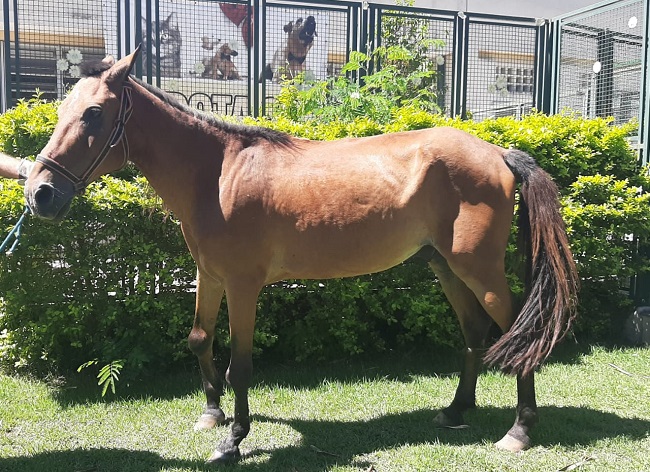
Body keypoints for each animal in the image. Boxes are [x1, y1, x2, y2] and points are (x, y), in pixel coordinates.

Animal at [24, 49, 576, 462]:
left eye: (94, 114)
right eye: (62, 110)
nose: (40, 193)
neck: (217, 174)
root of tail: (499, 153)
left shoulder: (243, 285)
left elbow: (241, 364)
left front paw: (234, 440)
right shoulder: (210, 274)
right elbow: (200, 338)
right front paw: (212, 413)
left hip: (478, 269)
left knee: (518, 333)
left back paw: (520, 431)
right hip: (445, 267)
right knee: (475, 333)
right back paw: (456, 411)